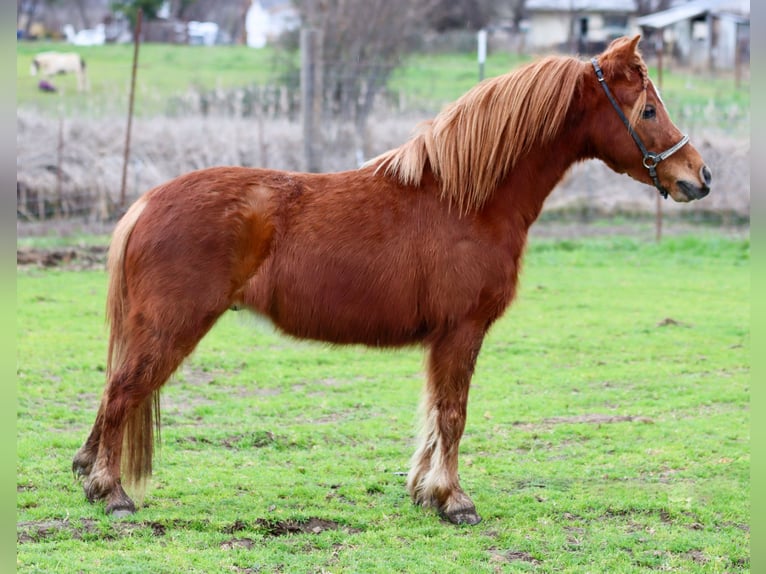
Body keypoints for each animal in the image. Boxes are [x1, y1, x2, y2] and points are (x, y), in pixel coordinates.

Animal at [72, 36, 711, 525]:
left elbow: (434, 413)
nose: (699, 177)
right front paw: (454, 501)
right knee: (122, 393)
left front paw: (426, 492)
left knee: (115, 394)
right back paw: (113, 494)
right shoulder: (462, 330)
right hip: (171, 327)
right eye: (648, 111)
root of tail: (146, 203)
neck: (464, 199)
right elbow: (453, 413)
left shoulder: (445, 338)